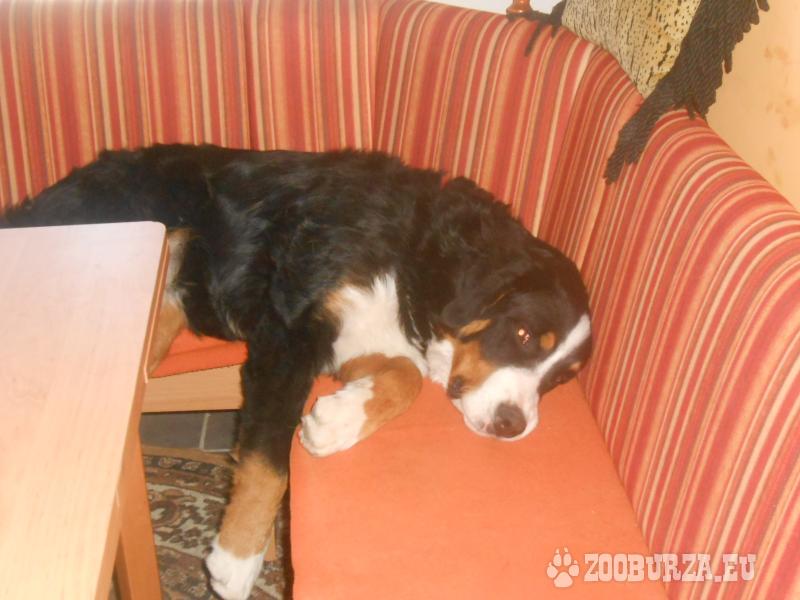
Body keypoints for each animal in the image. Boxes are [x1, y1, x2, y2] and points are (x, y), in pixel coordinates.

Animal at [2, 143, 592, 599]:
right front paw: (236, 561)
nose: (515, 424)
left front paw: (334, 423)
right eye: (522, 335)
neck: (414, 254)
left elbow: (404, 377)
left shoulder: (354, 335)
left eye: (560, 379)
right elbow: (267, 461)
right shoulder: (287, 331)